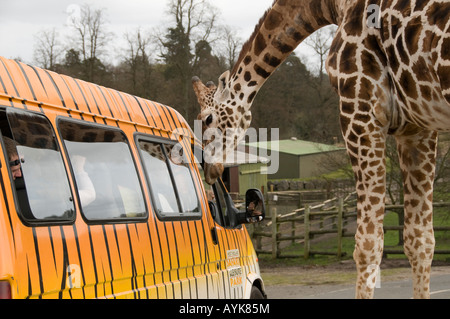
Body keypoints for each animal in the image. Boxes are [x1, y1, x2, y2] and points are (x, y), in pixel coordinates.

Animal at [192, 0, 450, 300]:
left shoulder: (359, 112)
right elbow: (420, 242)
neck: (332, 7)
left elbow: (367, 244)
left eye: (208, 118)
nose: (209, 169)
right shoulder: (417, 127)